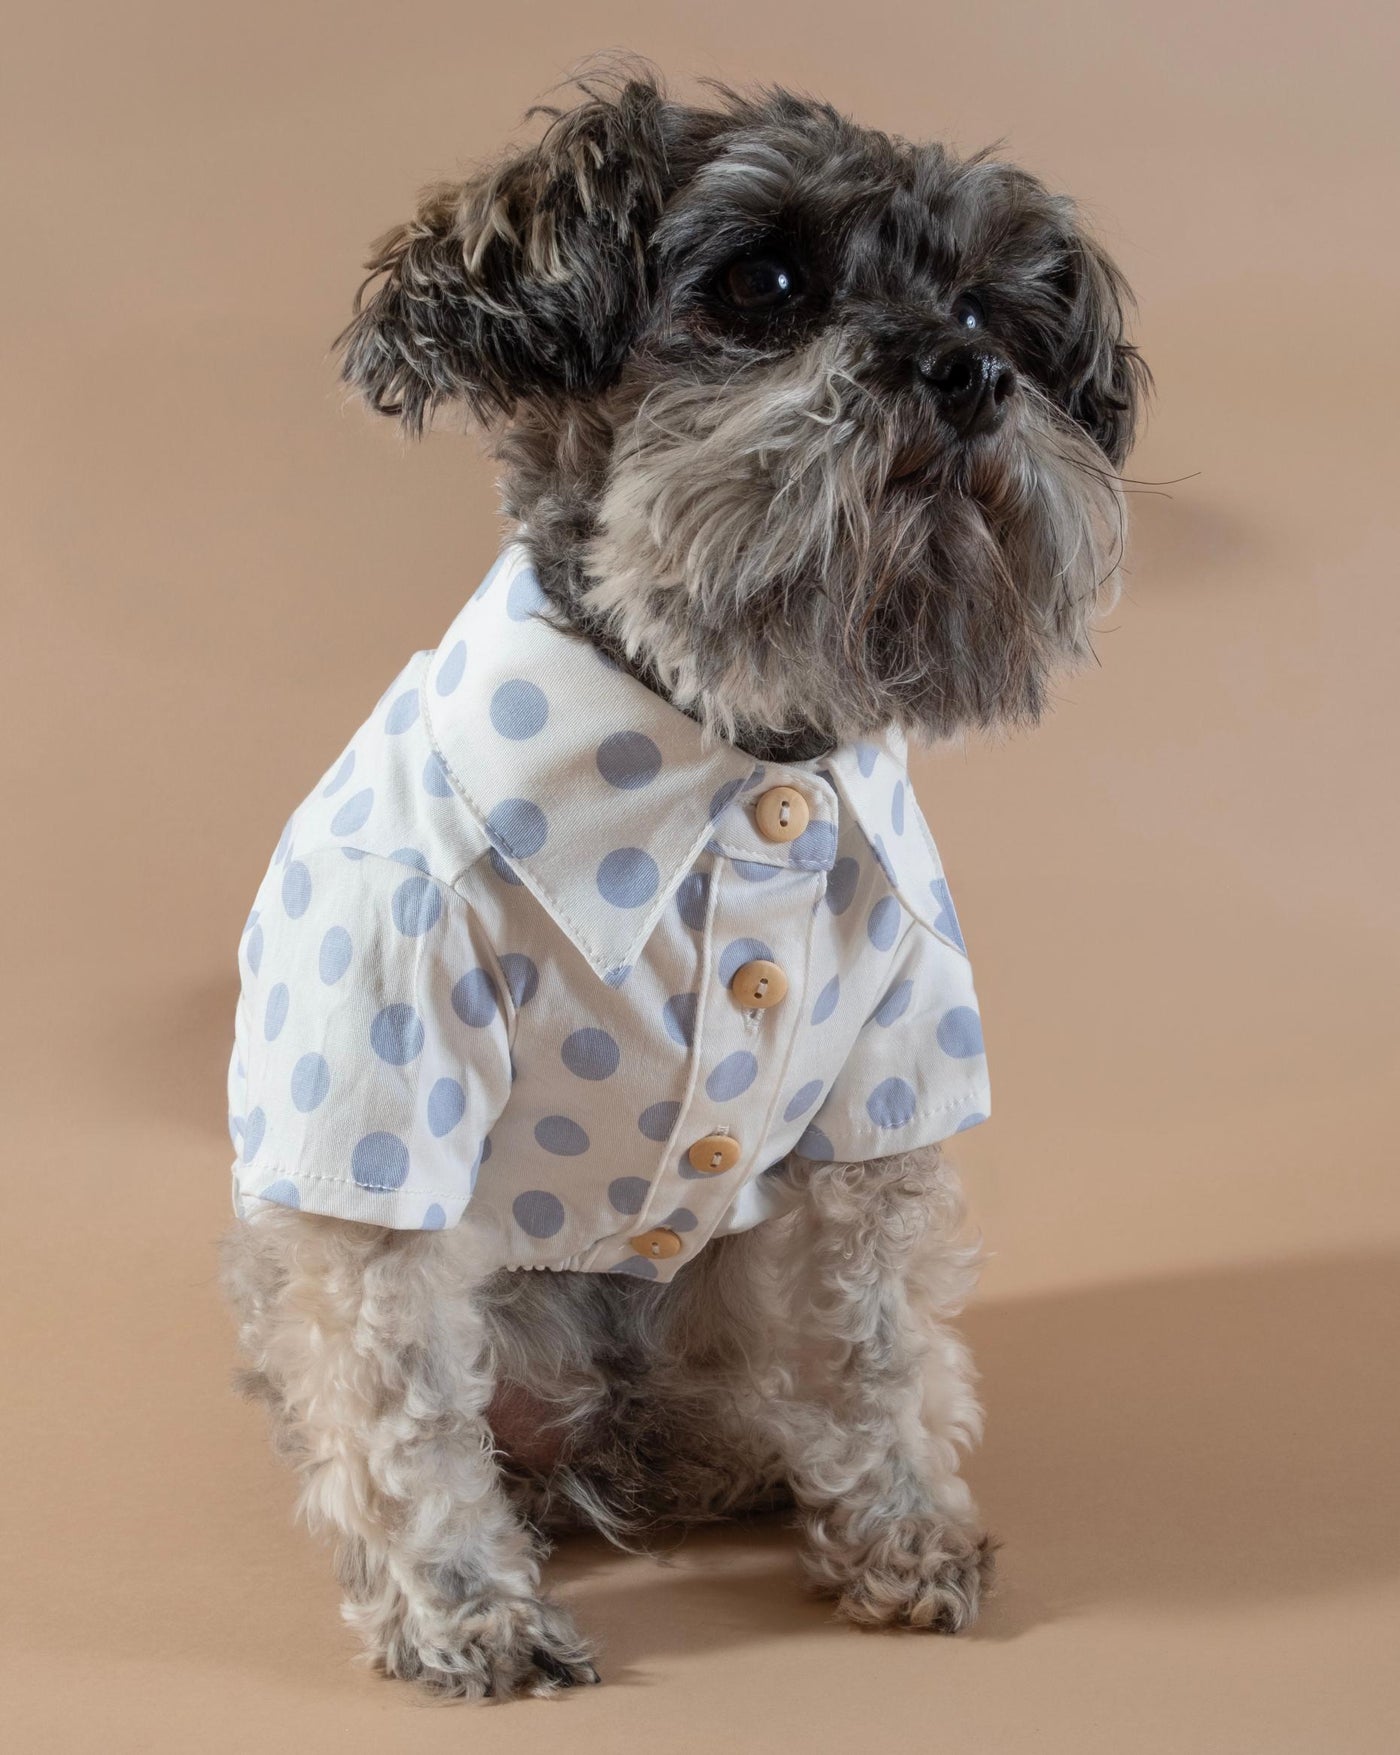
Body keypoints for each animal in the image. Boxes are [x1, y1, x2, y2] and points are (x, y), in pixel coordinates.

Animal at [221, 68, 1150, 1698]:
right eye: (761, 284)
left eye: (991, 305)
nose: (966, 370)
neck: (743, 745)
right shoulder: (385, 1096)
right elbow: (396, 1397)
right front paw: (462, 1607)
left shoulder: (884, 1097)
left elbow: (881, 1337)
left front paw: (895, 1526)